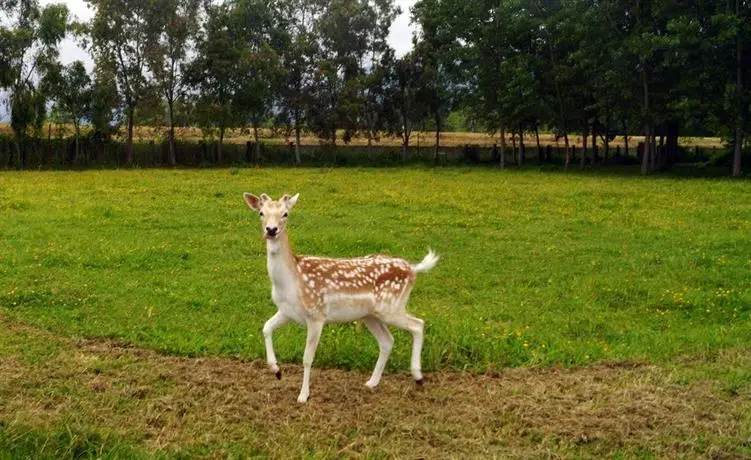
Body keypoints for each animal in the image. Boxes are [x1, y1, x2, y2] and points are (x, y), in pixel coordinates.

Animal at [244, 192, 438, 400]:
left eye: (285, 214)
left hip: (391, 307)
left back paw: (418, 377)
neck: (291, 281)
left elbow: (307, 358)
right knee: (388, 341)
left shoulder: (317, 315)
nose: (271, 230)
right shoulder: (286, 311)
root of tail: (413, 269)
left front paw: (303, 396)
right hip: (370, 315)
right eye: (261, 213)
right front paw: (276, 370)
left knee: (418, 324)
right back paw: (372, 382)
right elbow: (266, 328)